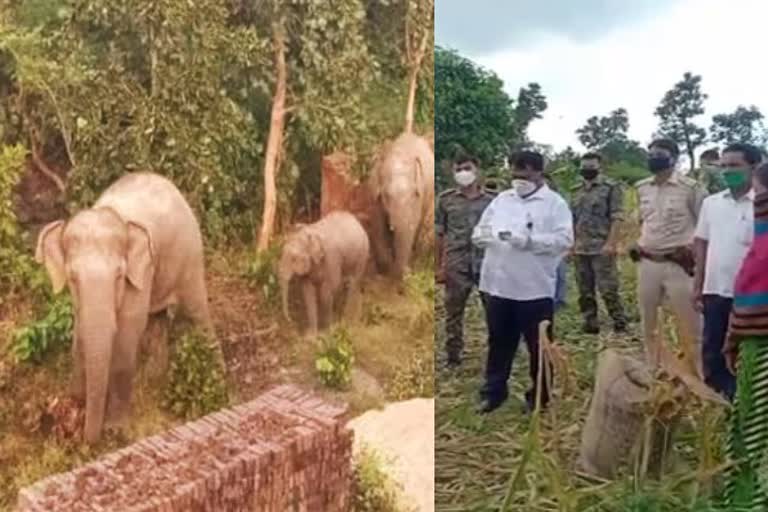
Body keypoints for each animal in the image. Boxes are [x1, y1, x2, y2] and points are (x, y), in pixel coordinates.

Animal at [35, 172, 212, 444]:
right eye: (72, 277)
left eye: (119, 275)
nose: (86, 437)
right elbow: (80, 333)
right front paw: (75, 405)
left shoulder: (139, 270)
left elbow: (127, 336)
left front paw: (113, 431)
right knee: (157, 320)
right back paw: (155, 381)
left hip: (190, 254)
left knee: (197, 313)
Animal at [280, 210, 372, 338]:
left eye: (294, 259)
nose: (290, 320)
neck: (310, 231)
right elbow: (308, 293)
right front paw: (311, 336)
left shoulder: (332, 257)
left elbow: (328, 289)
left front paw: (327, 332)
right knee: (354, 285)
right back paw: (355, 320)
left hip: (363, 254)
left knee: (353, 282)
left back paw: (347, 321)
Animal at [368, 130, 436, 278]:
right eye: (386, 195)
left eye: (413, 194)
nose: (408, 272)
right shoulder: (374, 193)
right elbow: (377, 224)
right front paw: (384, 268)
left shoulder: (419, 195)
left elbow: (411, 224)